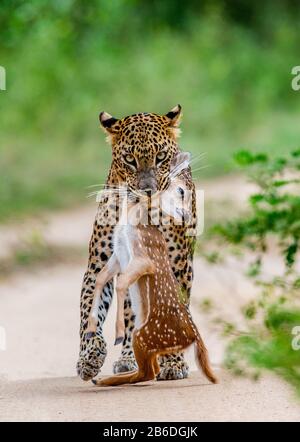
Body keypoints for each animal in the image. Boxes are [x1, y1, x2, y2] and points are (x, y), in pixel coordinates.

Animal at [76, 105, 196, 382]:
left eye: (161, 157)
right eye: (130, 159)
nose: (148, 190)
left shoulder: (177, 265)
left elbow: (174, 313)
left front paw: (174, 362)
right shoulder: (98, 264)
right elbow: (89, 309)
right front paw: (89, 357)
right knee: (131, 314)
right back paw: (128, 358)